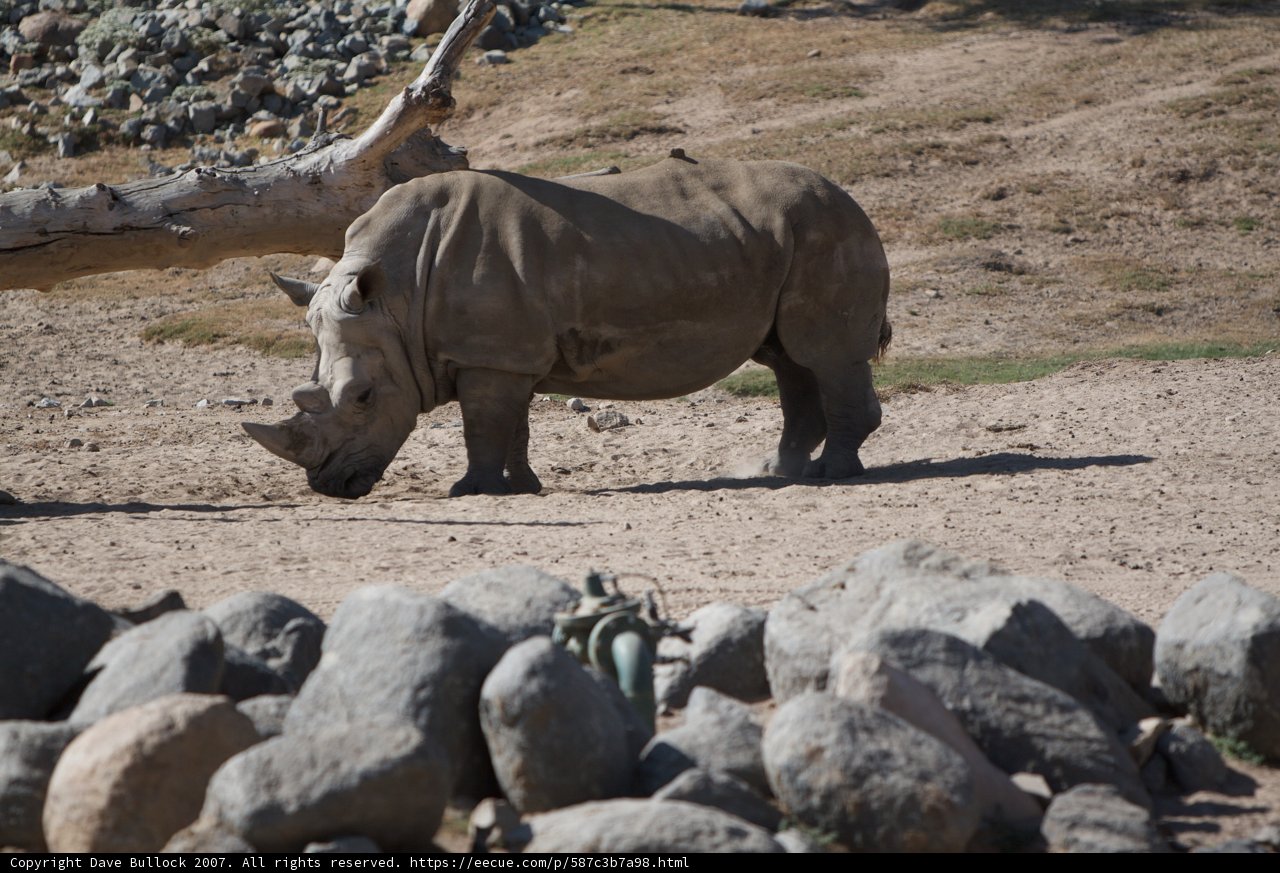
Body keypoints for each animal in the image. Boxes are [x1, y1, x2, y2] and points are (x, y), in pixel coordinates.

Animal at [244, 154, 891, 499]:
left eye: (362, 396)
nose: (328, 485)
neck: (397, 296)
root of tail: (852, 198)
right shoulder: (506, 353)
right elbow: (512, 424)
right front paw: (523, 486)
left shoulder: (490, 354)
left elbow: (482, 425)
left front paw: (472, 490)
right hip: (792, 235)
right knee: (790, 360)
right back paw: (784, 471)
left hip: (827, 230)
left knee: (827, 355)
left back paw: (833, 475)